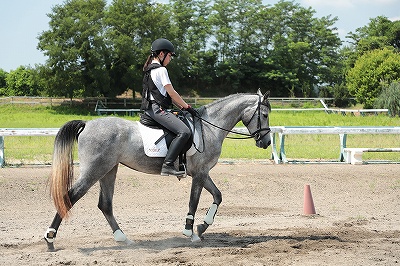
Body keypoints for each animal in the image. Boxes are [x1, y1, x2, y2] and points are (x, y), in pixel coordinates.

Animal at [43, 90, 272, 251]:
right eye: (264, 114)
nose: (267, 142)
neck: (209, 127)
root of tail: (87, 124)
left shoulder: (202, 172)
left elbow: (218, 195)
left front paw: (201, 227)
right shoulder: (199, 174)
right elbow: (194, 201)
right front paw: (190, 232)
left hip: (109, 170)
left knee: (105, 204)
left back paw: (123, 238)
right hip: (94, 171)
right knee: (69, 197)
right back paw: (50, 238)